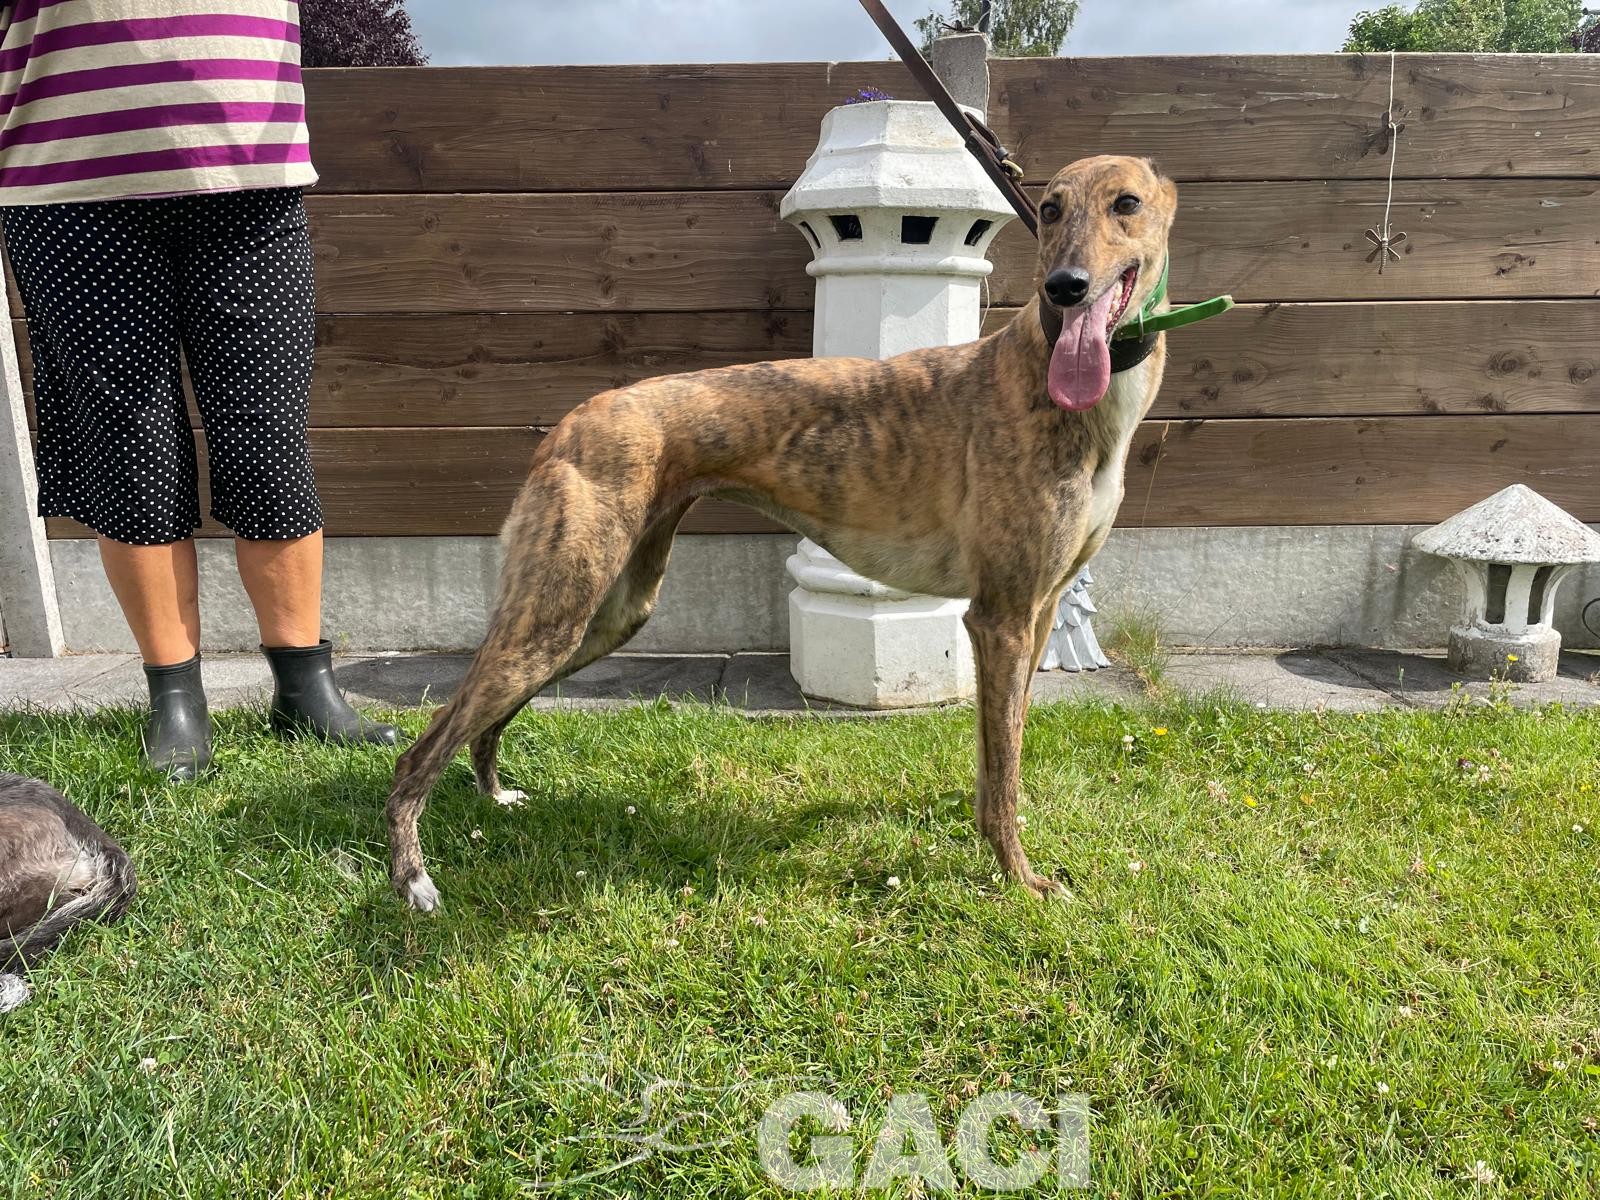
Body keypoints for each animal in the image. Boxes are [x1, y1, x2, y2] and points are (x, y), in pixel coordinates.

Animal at [386, 155, 1178, 909]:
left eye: (1126, 203)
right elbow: (1005, 768)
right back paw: (413, 881)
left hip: (608, 612)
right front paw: (1021, 878)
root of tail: (570, 424)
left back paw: (495, 795)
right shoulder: (1001, 618)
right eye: (1050, 210)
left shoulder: (1037, 612)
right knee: (421, 749)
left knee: (484, 719)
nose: (1065, 288)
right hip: (554, 612)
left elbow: (998, 756)